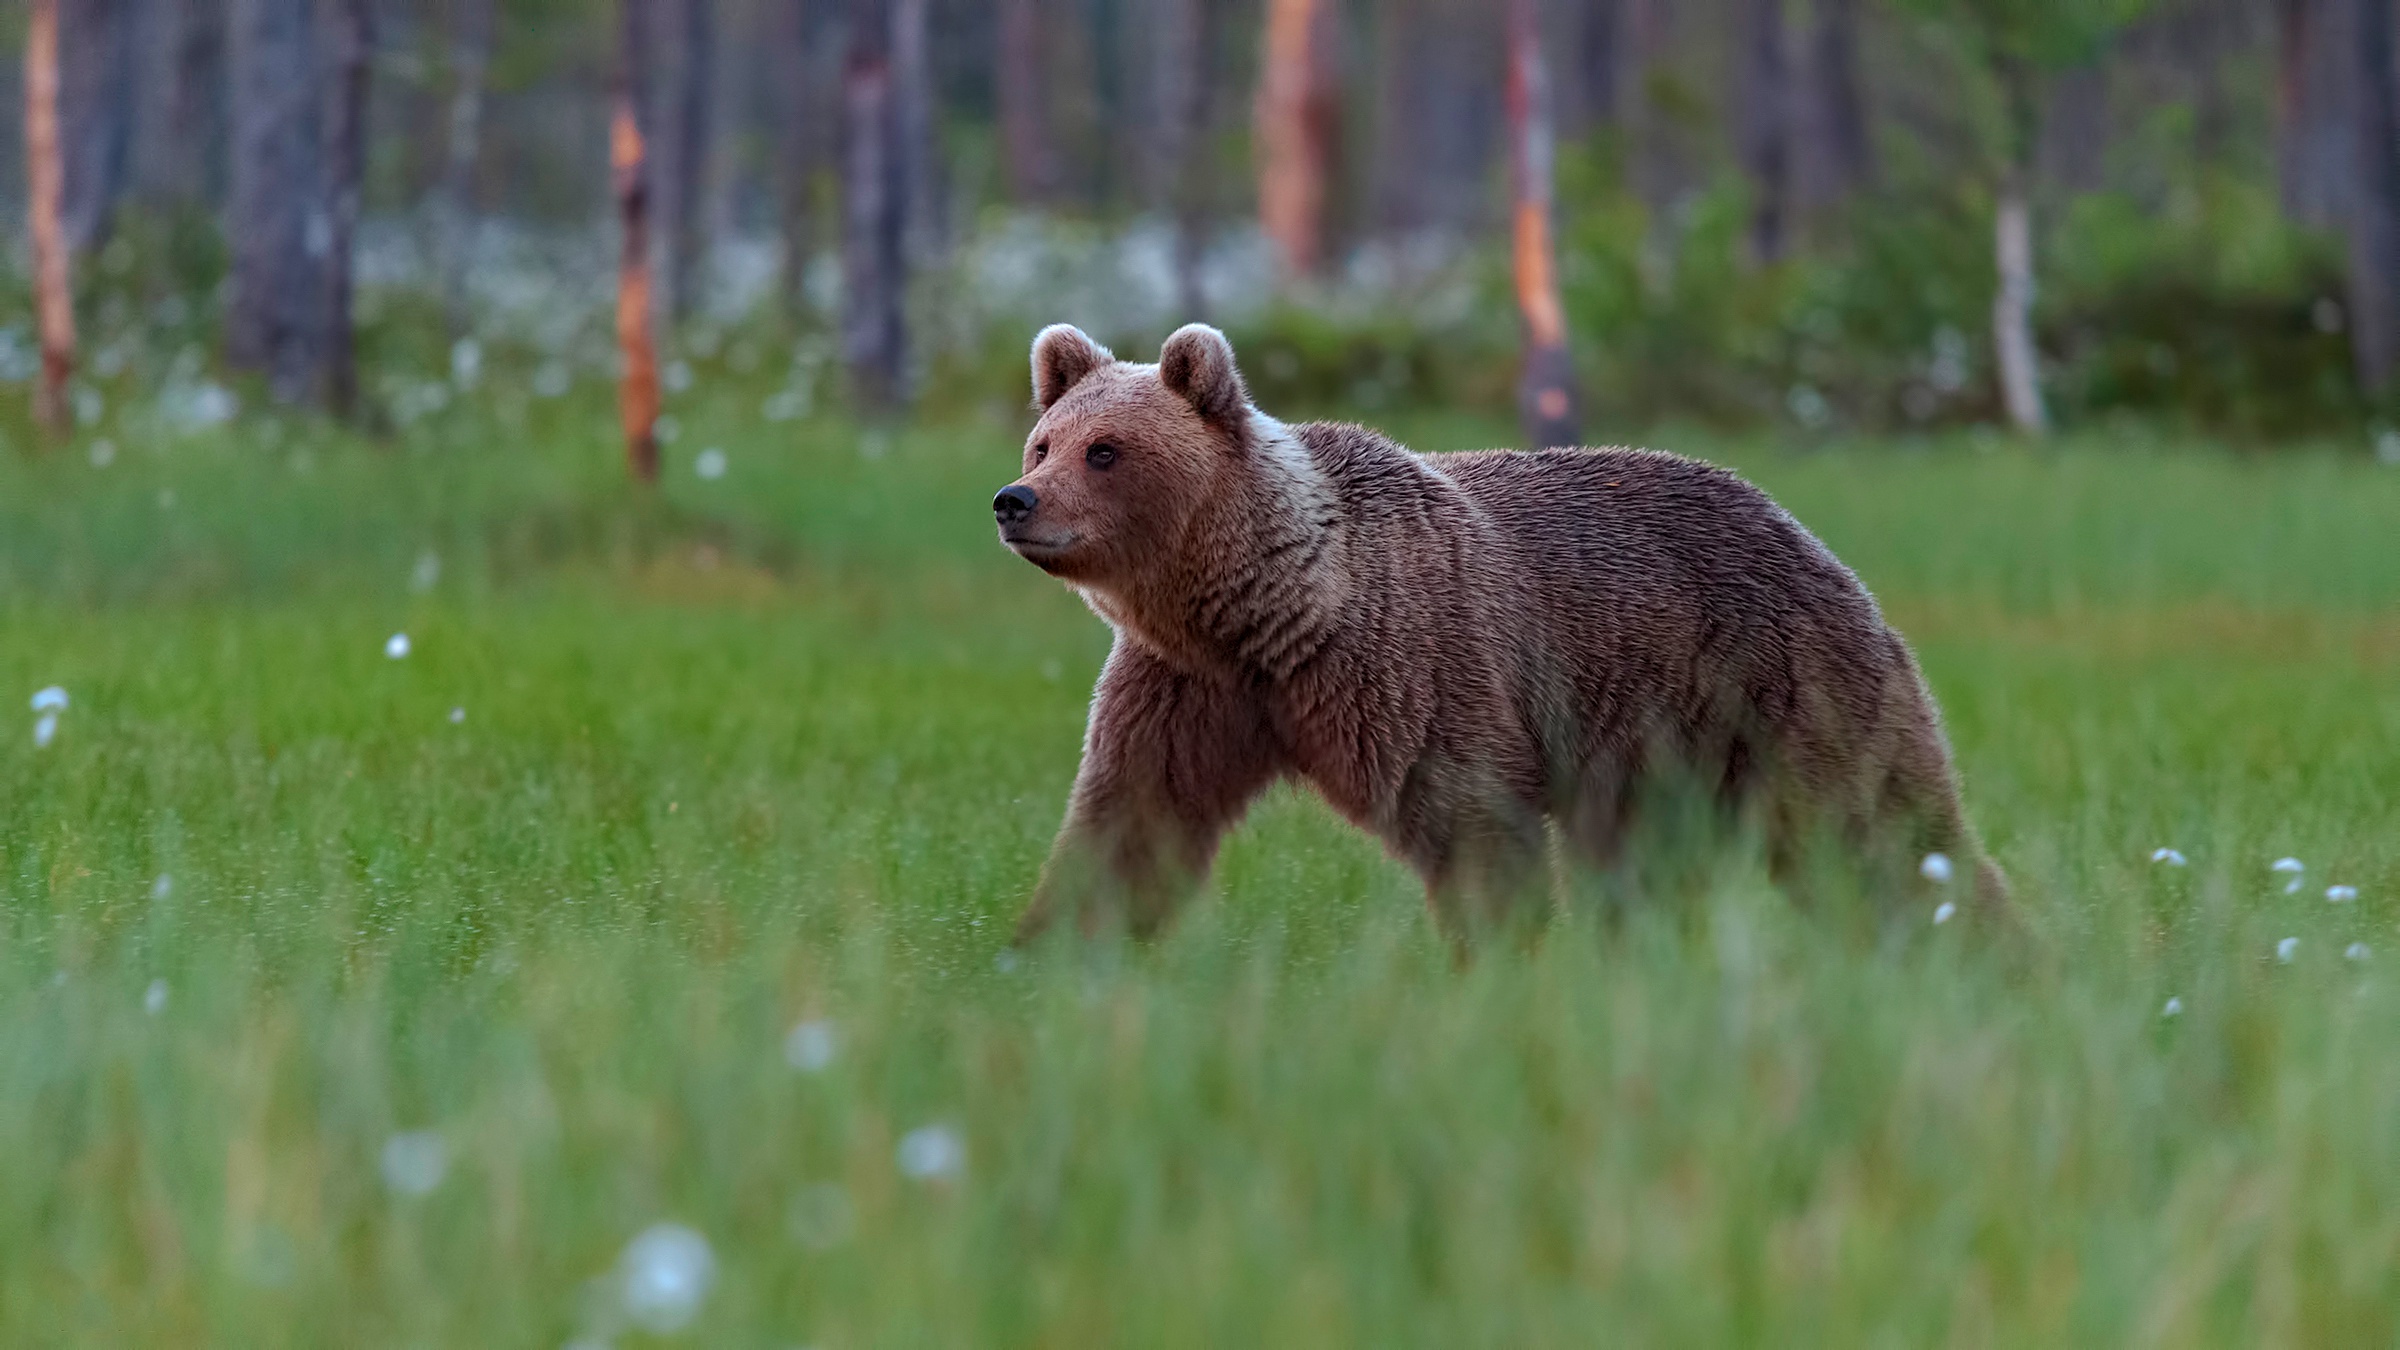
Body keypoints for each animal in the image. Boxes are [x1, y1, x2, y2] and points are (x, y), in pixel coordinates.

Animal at [993, 319, 2006, 941]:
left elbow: (1473, 825)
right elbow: (1132, 818)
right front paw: (1045, 950)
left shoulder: (1414, 664)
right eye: (1044, 441)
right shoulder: (1189, 686)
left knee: (1881, 828)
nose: (1015, 500)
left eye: (1107, 450)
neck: (1270, 609)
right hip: (1655, 753)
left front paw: (1494, 960)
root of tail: (1812, 537)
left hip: (1779, 681)